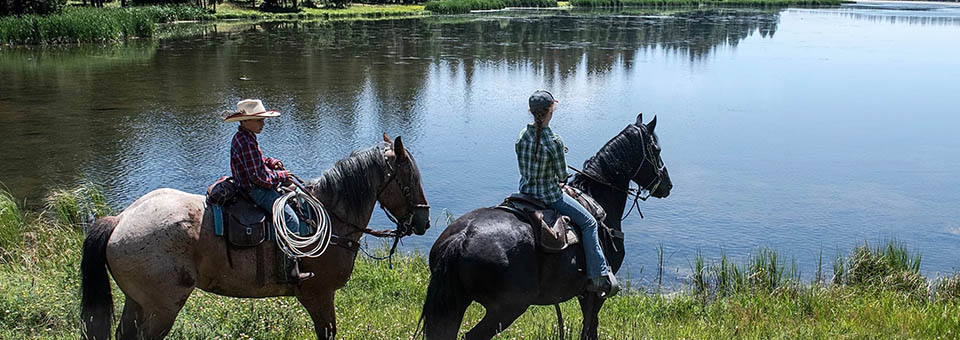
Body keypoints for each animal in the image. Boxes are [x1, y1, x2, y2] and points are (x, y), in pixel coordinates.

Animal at [79, 136, 432, 340]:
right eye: (409, 177)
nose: (424, 220)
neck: (331, 218)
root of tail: (120, 220)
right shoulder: (319, 294)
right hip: (161, 308)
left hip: (137, 302)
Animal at [420, 115, 676, 340]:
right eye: (657, 150)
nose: (668, 185)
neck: (599, 199)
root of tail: (462, 238)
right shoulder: (595, 294)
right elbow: (590, 329)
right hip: (507, 308)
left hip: (455, 303)